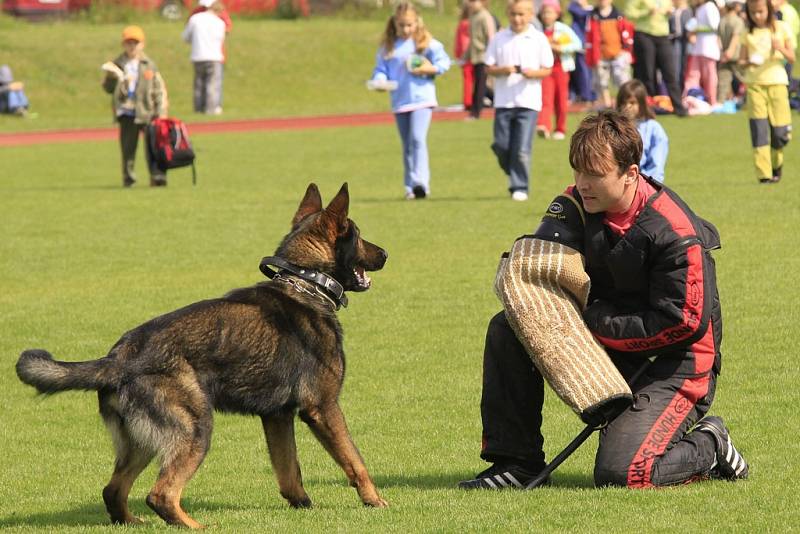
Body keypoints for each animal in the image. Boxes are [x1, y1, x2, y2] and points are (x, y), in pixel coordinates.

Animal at [16, 185, 390, 532]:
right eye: (358, 235)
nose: (386, 252)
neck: (305, 283)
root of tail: (118, 359)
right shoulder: (323, 407)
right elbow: (354, 460)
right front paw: (374, 500)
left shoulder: (277, 416)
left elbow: (289, 470)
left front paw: (303, 506)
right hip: (195, 428)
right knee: (161, 494)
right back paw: (194, 525)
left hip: (143, 441)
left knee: (113, 490)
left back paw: (132, 521)